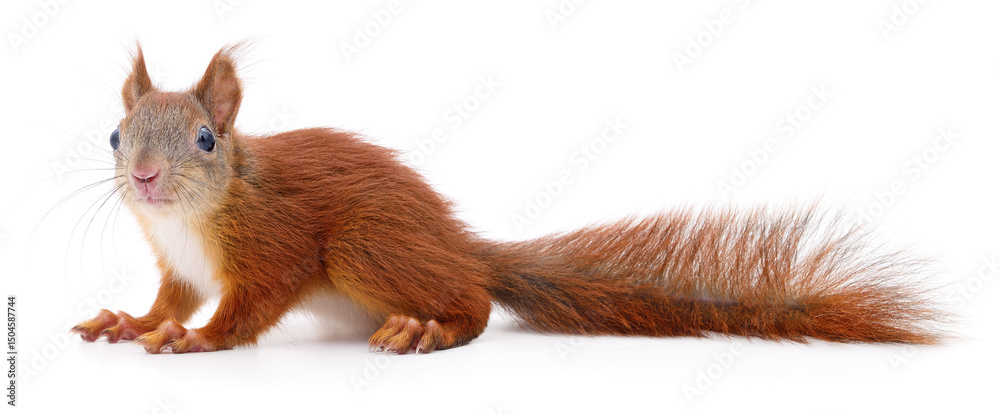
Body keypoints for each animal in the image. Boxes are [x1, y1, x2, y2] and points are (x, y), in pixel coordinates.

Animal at [71, 45, 945, 354]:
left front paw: (197, 340)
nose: (143, 177)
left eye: (205, 140)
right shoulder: (179, 266)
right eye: (115, 136)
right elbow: (169, 299)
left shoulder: (273, 243)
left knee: (477, 303)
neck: (191, 219)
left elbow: (246, 308)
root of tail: (457, 244)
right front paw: (132, 321)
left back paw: (429, 327)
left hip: (364, 246)